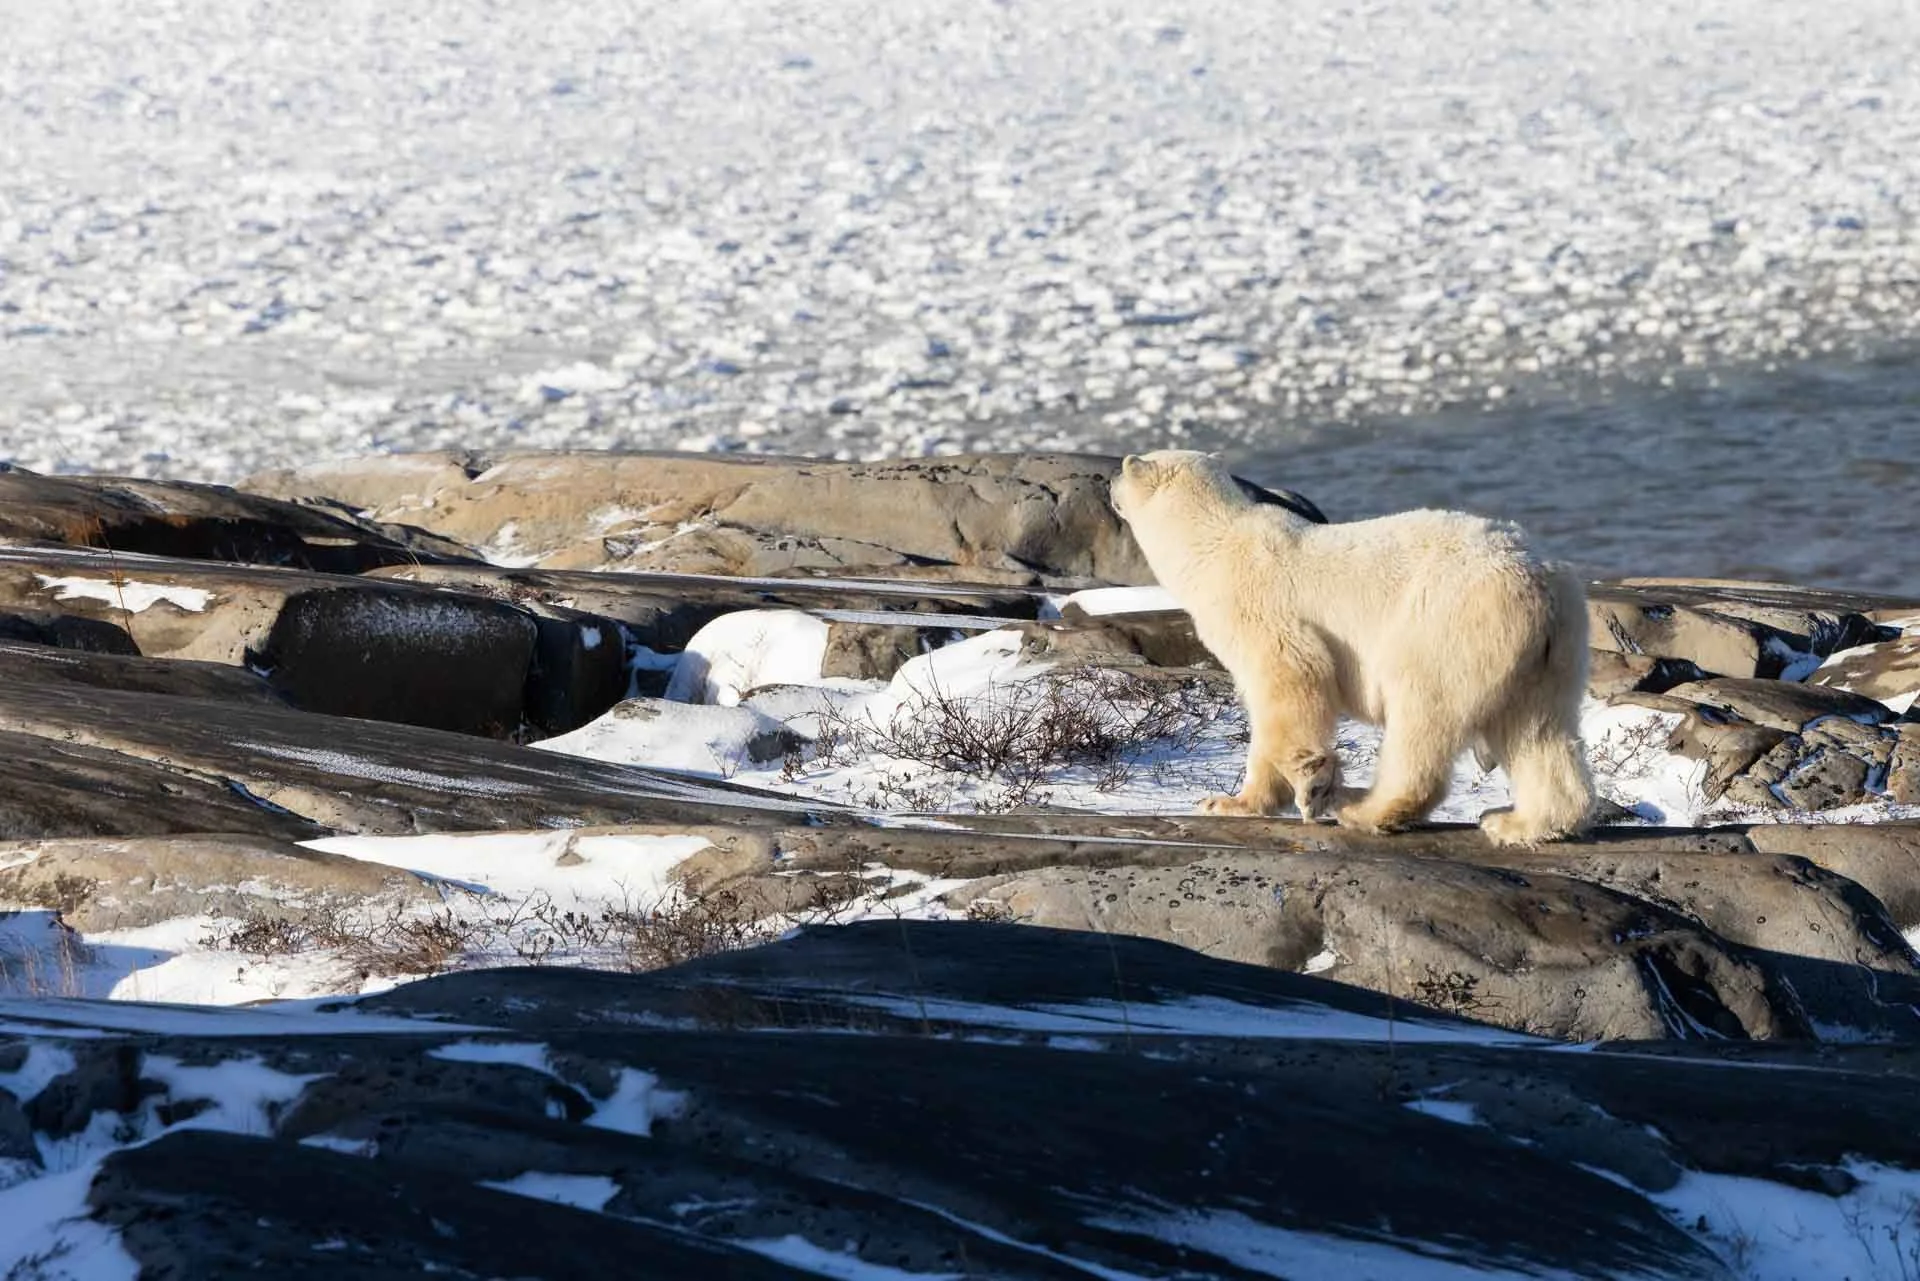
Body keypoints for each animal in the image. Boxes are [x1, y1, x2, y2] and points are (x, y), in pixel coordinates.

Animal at [1108, 449, 1594, 847]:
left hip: (1446, 623)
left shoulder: (1257, 606)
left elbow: (1290, 677)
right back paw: (1518, 823)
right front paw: (1229, 802)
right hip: (1552, 650)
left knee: (1422, 714)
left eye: (1124, 468)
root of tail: (1538, 579)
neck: (1209, 542)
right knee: (1537, 730)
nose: (1110, 481)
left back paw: (1365, 809)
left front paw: (1307, 787)